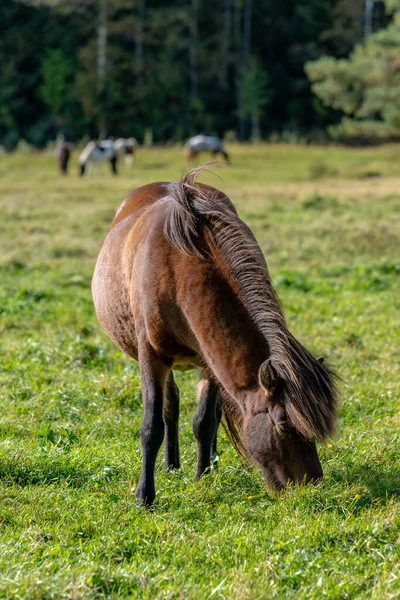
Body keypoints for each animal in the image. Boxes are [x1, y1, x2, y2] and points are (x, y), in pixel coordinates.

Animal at [91, 170, 338, 506]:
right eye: (285, 425)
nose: (312, 485)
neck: (177, 270)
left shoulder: (209, 362)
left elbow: (205, 421)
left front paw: (203, 475)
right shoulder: (151, 356)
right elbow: (152, 426)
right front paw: (145, 496)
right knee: (170, 407)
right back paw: (171, 465)